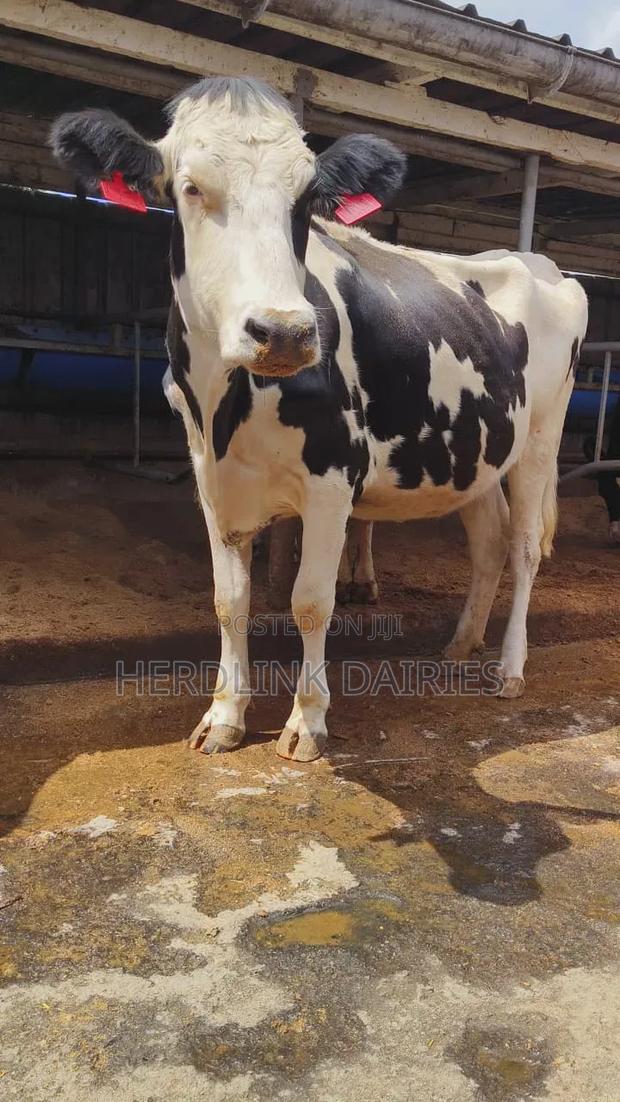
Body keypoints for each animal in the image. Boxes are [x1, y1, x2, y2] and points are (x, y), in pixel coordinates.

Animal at [51, 76, 588, 762]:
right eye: (190, 187)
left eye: (308, 197)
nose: (283, 331)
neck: (226, 406)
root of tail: (541, 264)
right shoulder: (210, 477)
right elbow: (229, 600)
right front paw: (224, 716)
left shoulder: (334, 478)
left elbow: (310, 601)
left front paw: (306, 722)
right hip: (477, 450)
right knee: (490, 542)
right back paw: (462, 644)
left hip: (540, 439)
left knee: (522, 548)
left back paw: (510, 669)